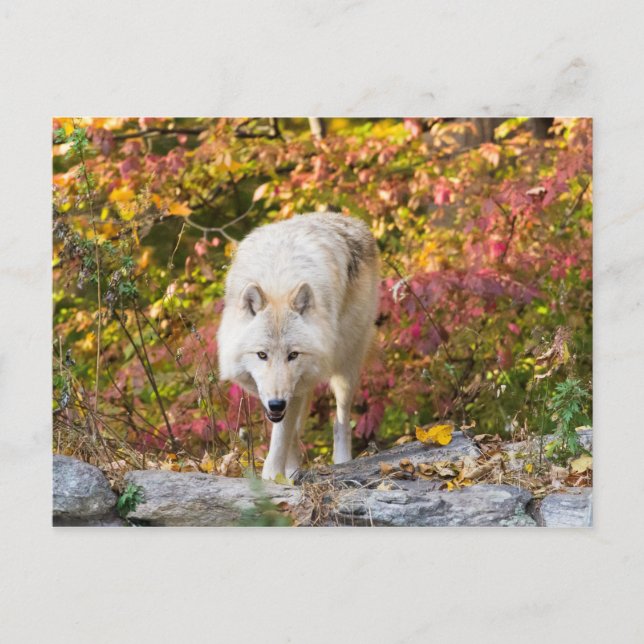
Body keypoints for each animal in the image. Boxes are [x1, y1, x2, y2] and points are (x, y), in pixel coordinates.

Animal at [217, 212, 380, 480]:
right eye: (262, 355)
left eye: (293, 354)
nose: (276, 404)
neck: (277, 284)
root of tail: (351, 220)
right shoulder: (279, 392)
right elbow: (289, 432)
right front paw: (289, 472)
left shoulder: (290, 394)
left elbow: (281, 436)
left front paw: (272, 477)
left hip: (346, 365)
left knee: (341, 421)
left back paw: (342, 459)